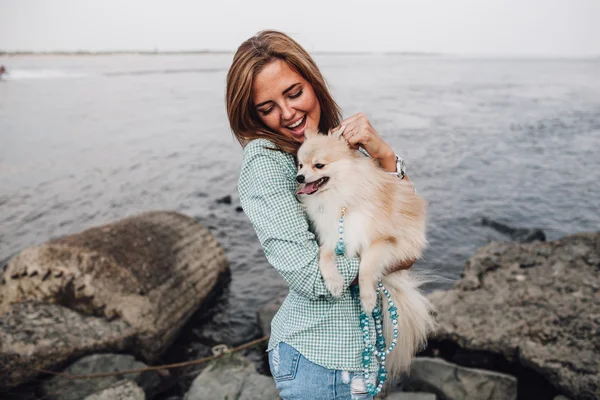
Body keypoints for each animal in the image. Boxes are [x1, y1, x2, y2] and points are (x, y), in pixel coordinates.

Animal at [296, 127, 434, 376]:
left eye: (318, 165)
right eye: (300, 164)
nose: (298, 177)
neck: (339, 196)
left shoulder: (382, 240)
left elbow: (366, 269)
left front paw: (367, 298)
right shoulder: (332, 237)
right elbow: (324, 256)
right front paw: (334, 282)